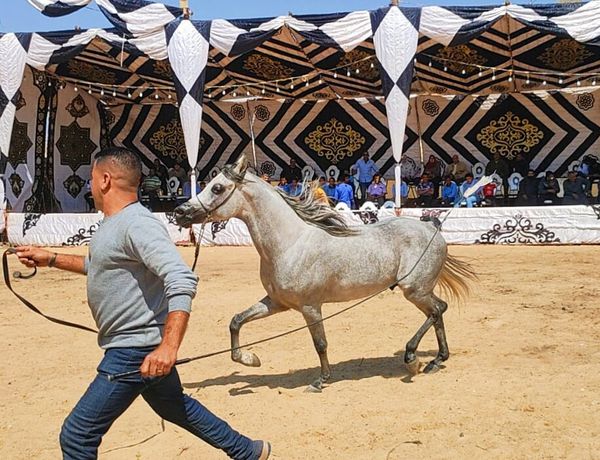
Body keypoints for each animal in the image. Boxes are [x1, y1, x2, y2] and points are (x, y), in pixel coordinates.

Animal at [175, 157, 478, 392]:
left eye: (217, 187)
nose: (179, 212)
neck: (290, 243)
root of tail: (431, 228)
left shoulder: (310, 307)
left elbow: (320, 343)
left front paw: (321, 380)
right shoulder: (277, 303)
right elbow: (236, 321)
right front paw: (250, 359)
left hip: (414, 289)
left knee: (437, 311)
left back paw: (413, 358)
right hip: (419, 290)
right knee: (438, 311)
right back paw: (436, 360)